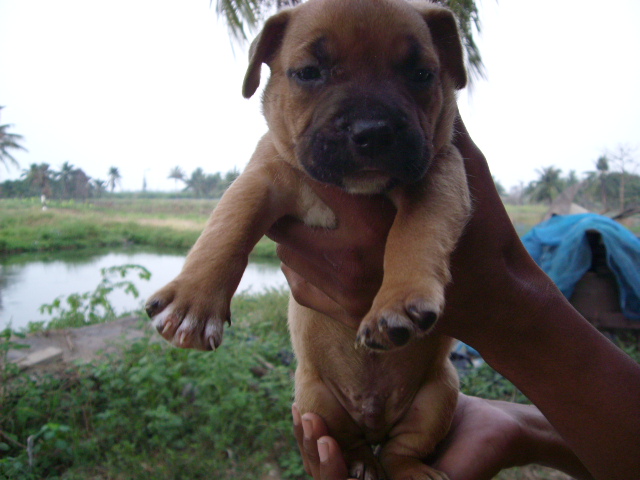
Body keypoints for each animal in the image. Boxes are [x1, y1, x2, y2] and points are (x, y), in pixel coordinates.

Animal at [146, 0, 470, 478]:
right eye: (308, 73)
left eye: (421, 74)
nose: (372, 130)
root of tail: (374, 421)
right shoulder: (263, 176)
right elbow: (228, 226)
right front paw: (193, 302)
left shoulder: (439, 173)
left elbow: (416, 234)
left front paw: (398, 301)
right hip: (316, 397)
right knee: (354, 443)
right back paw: (355, 463)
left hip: (439, 394)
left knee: (401, 451)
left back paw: (410, 468)